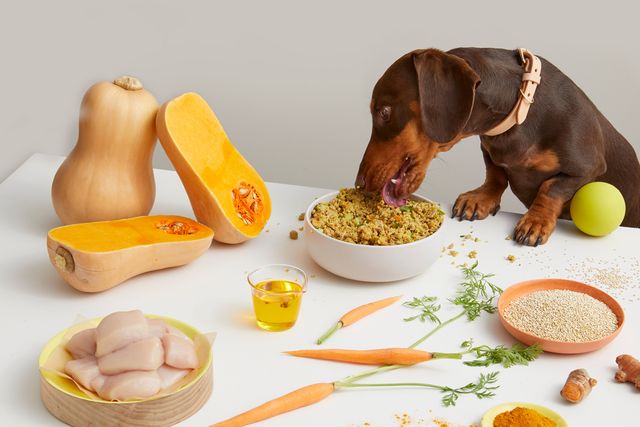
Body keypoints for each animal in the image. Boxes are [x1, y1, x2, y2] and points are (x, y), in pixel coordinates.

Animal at [356, 48, 640, 246]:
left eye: (384, 112)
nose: (359, 184)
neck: (520, 112)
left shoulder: (587, 167)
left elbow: (551, 188)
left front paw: (536, 221)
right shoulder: (490, 151)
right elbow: (495, 175)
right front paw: (479, 199)